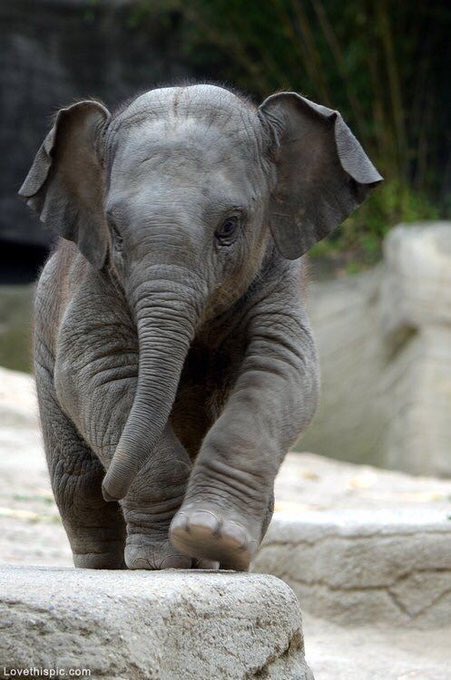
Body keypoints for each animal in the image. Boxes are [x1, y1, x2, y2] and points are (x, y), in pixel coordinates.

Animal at [19, 84, 382, 571]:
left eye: (229, 227)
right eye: (115, 232)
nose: (113, 486)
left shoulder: (278, 278)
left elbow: (282, 370)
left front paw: (212, 537)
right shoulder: (93, 280)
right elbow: (97, 372)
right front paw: (163, 561)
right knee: (76, 481)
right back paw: (111, 564)